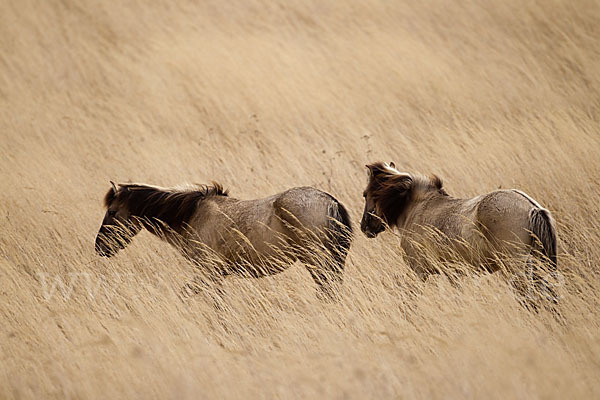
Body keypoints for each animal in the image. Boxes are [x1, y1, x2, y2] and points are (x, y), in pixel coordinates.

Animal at [95, 181, 352, 300]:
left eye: (113, 212)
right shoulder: (215, 275)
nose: (99, 247)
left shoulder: (211, 272)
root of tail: (330, 202)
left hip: (317, 262)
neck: (193, 215)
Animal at [360, 161, 556, 298]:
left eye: (365, 194)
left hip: (516, 267)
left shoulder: (420, 271)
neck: (416, 207)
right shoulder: (454, 273)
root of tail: (532, 208)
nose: (364, 227)